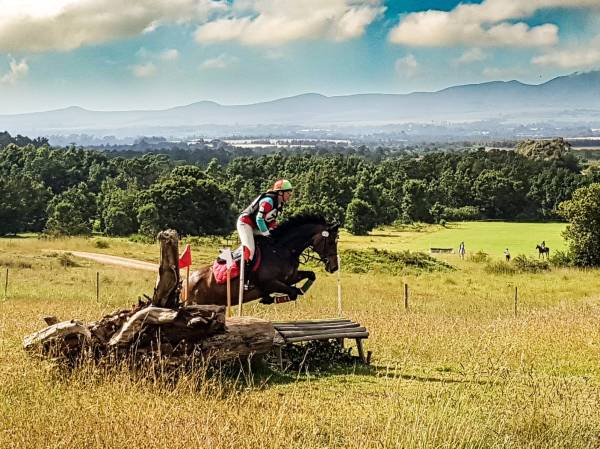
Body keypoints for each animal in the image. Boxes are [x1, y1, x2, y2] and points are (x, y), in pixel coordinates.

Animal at [185, 214, 340, 306]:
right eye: (331, 242)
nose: (334, 267)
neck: (282, 250)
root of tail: (187, 282)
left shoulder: (290, 278)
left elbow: (310, 275)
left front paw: (301, 289)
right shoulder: (270, 282)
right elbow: (291, 292)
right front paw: (273, 298)